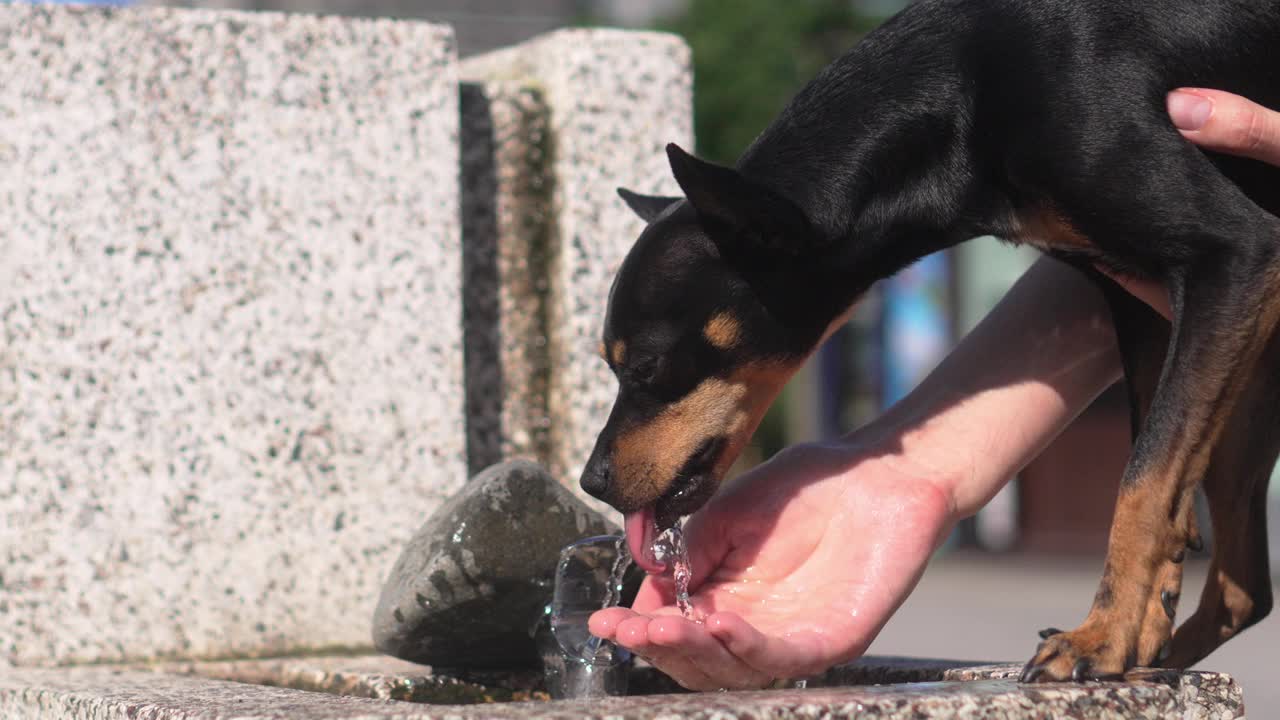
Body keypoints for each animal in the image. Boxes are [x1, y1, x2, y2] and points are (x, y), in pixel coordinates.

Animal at [581, 0, 1280, 676]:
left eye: (646, 367)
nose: (591, 482)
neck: (967, 93)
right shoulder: (1138, 303)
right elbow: (1157, 472)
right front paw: (1138, 626)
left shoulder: (1235, 255)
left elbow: (1143, 478)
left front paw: (1103, 637)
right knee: (1245, 587)